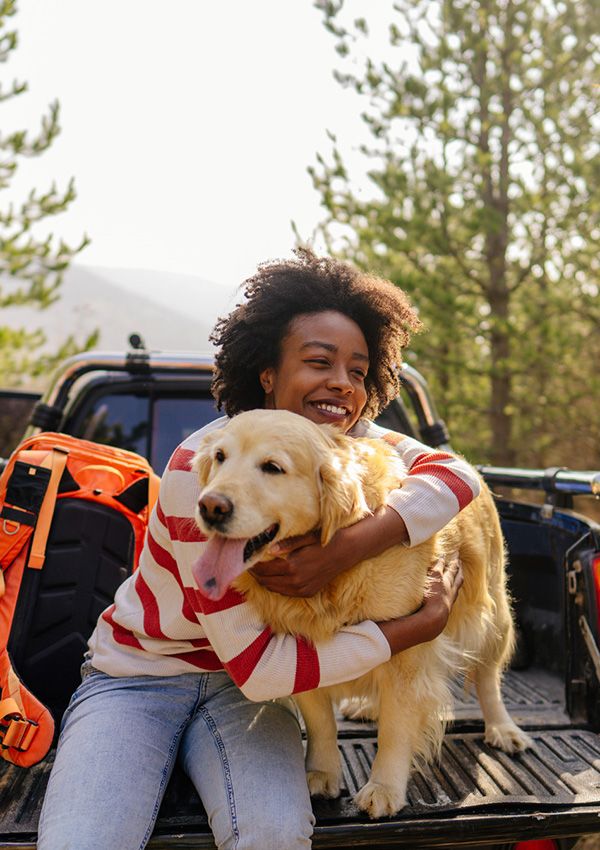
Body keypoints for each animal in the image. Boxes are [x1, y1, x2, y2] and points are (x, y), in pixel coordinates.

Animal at [190, 408, 532, 820]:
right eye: (220, 457)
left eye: (273, 467)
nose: (210, 506)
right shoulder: (302, 647)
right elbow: (321, 721)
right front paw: (321, 772)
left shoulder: (408, 655)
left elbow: (396, 729)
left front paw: (384, 788)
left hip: (492, 616)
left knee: (487, 677)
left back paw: (503, 728)